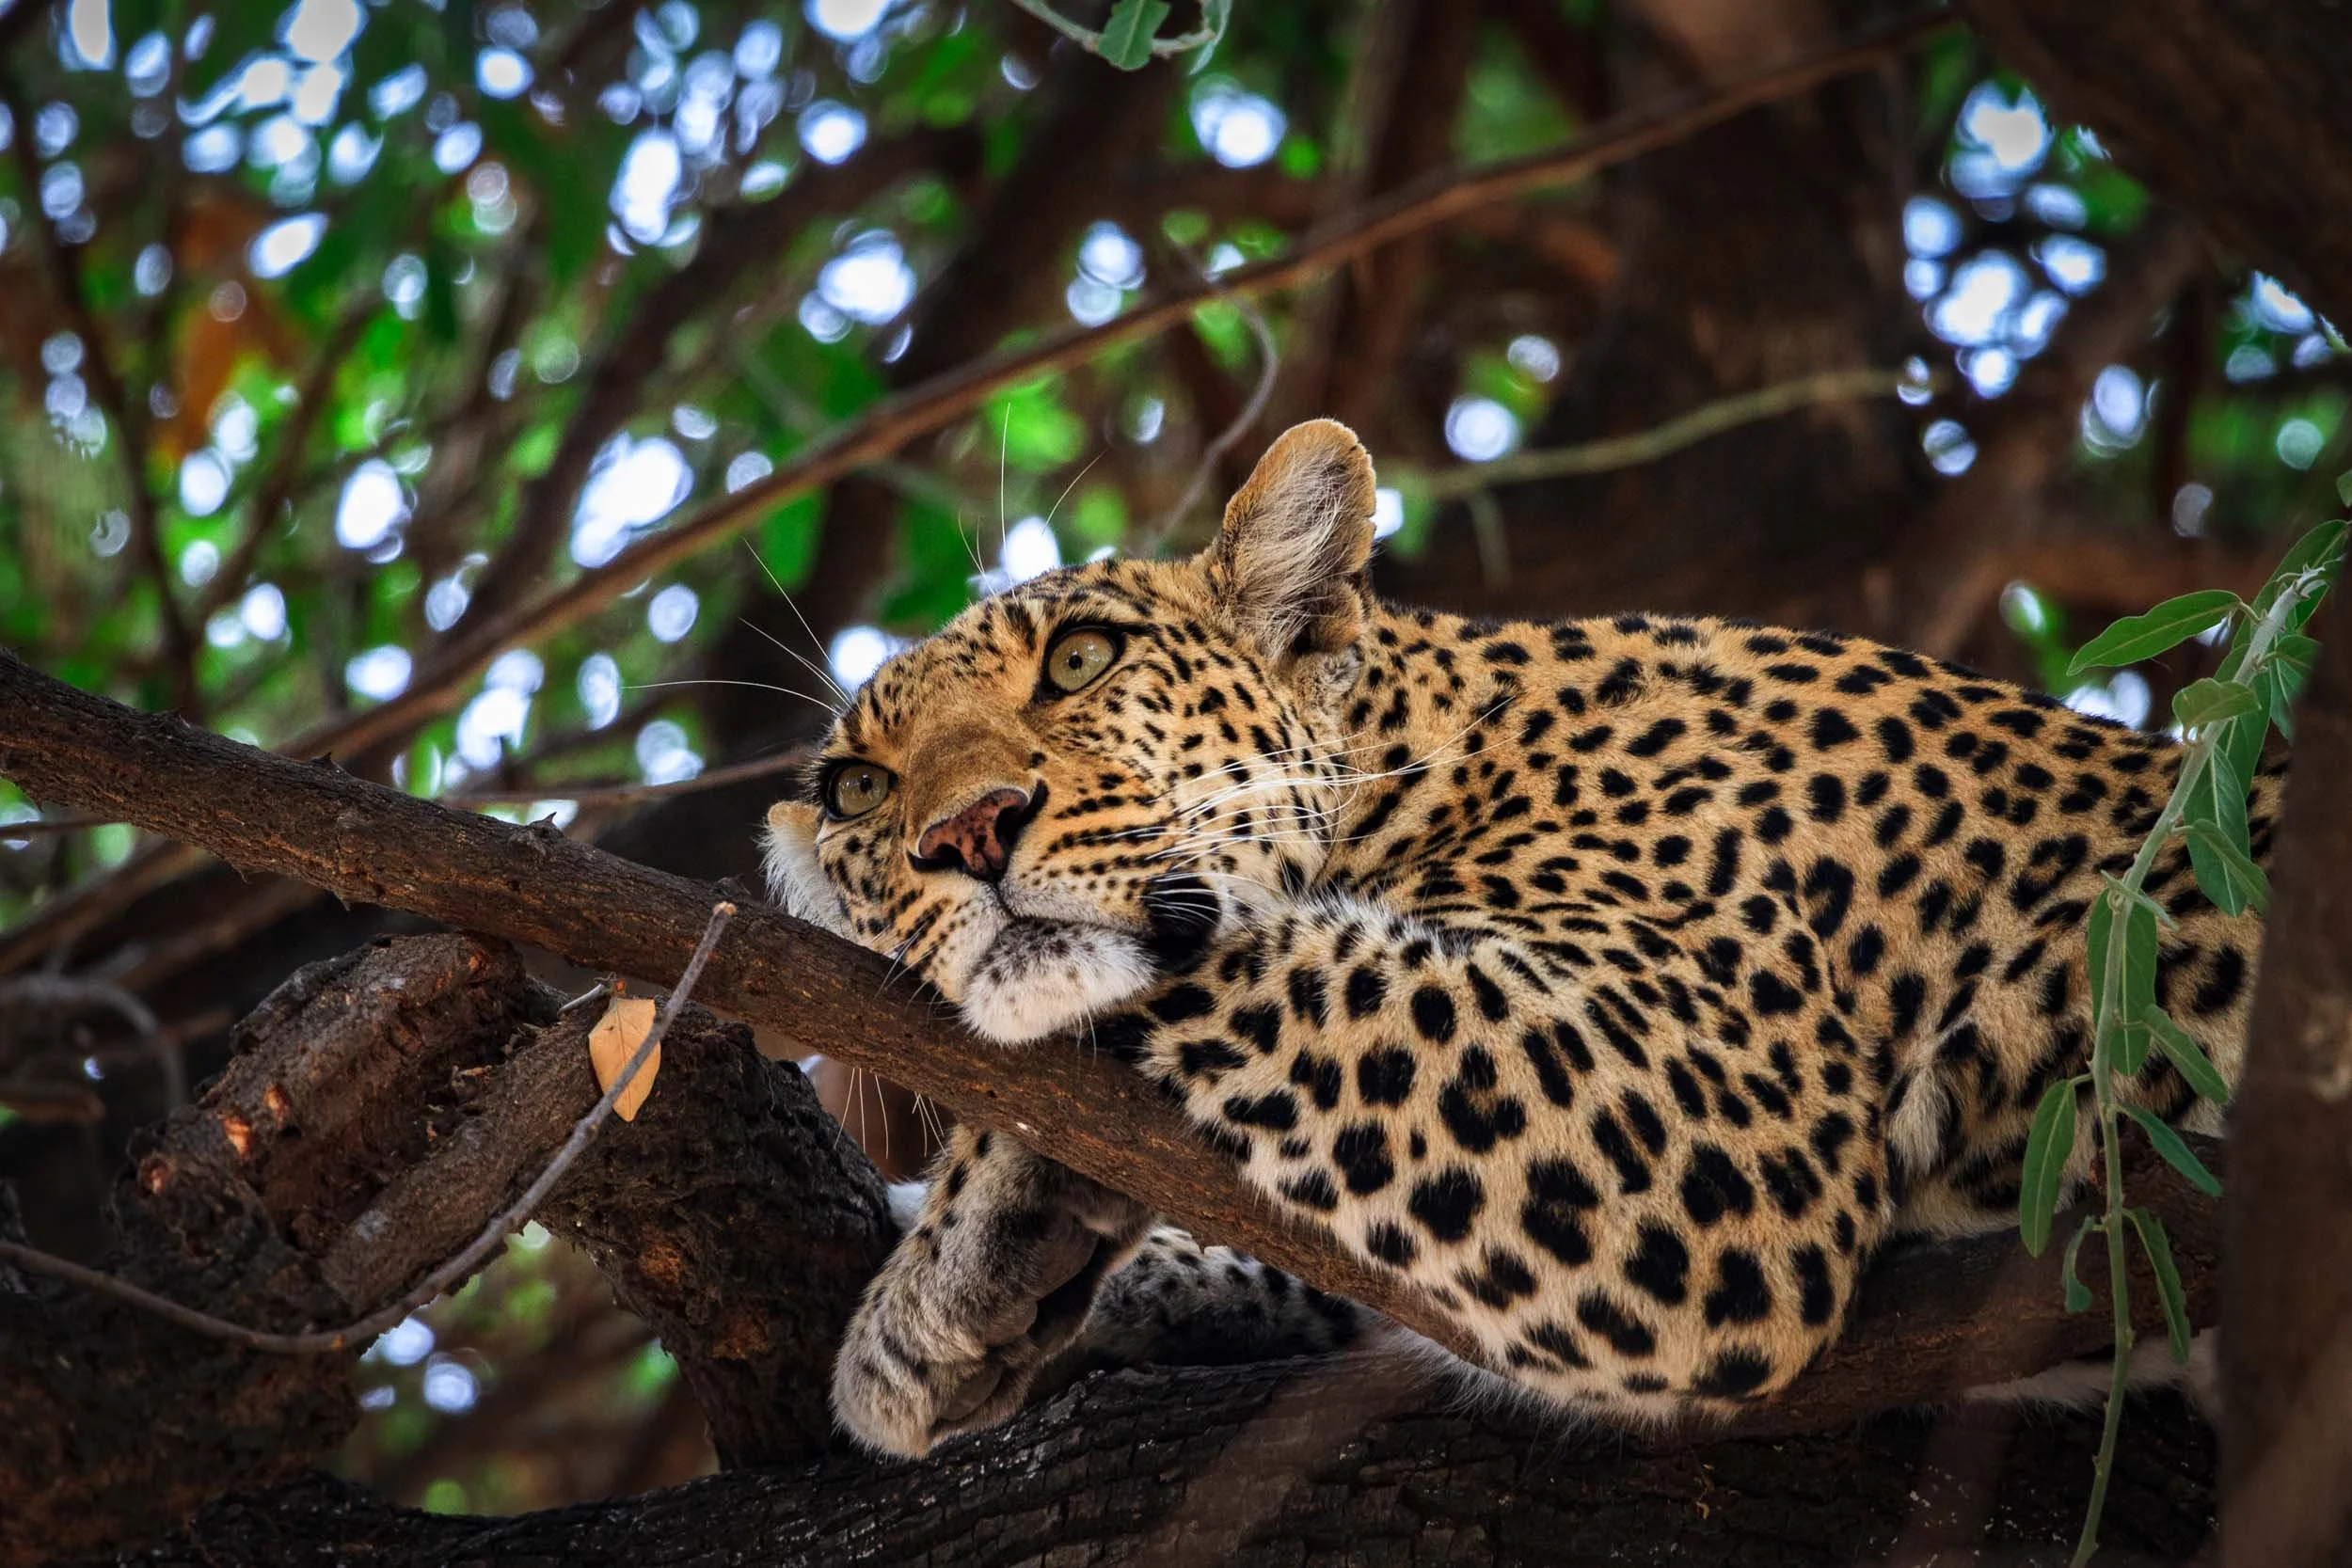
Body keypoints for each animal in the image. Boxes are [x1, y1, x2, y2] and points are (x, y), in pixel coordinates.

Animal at [763, 418, 2277, 1458]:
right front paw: (982, 1281)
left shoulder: (1699, 1110)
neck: (1442, 753)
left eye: (1080, 659)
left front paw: (966, 1213)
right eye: (860, 789)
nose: (965, 832)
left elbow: (1278, 962)